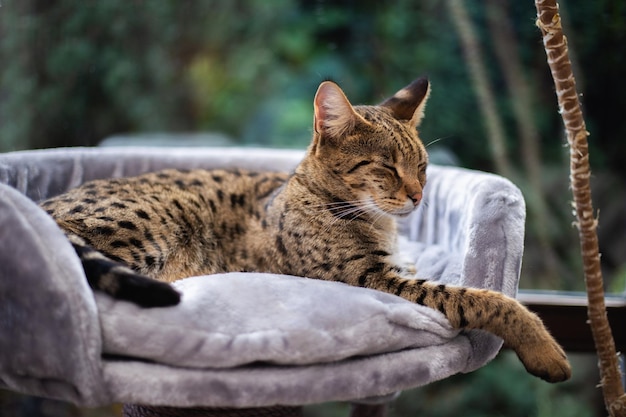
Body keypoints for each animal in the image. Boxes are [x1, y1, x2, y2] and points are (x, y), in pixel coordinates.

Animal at [40, 76, 572, 382]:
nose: (419, 196)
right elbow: (484, 298)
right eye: (386, 167)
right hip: (152, 227)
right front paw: (545, 348)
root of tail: (43, 205)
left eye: (423, 167)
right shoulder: (377, 280)